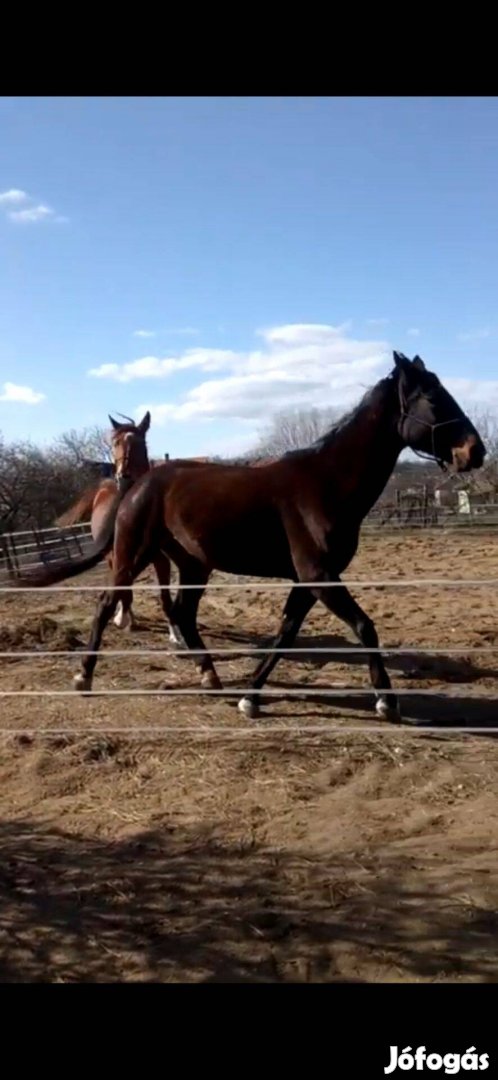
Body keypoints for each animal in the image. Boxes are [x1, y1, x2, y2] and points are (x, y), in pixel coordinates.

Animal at [20, 354, 486, 721]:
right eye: (434, 398)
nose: (475, 451)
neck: (326, 483)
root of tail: (135, 484)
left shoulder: (308, 580)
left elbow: (286, 634)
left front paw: (251, 697)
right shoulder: (319, 576)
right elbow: (363, 626)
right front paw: (387, 702)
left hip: (192, 565)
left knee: (182, 614)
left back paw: (210, 676)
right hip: (132, 554)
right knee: (107, 604)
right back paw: (83, 676)